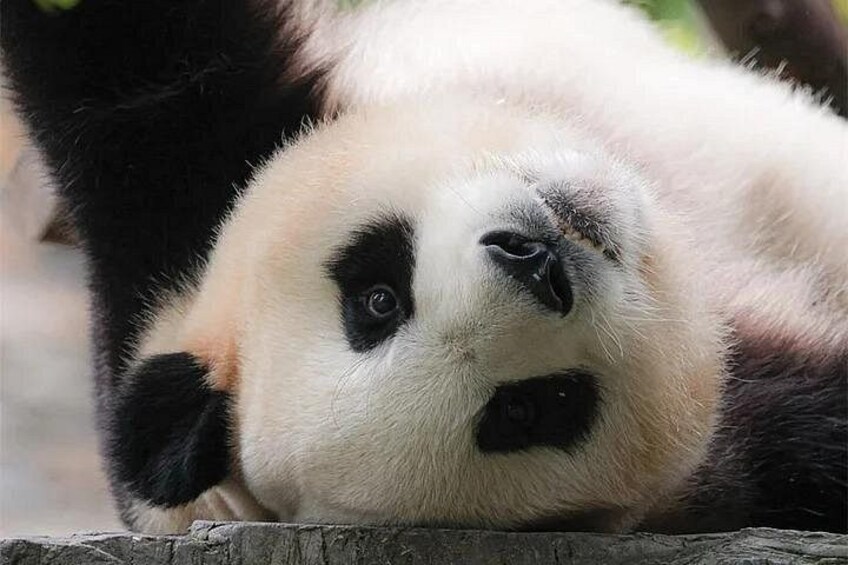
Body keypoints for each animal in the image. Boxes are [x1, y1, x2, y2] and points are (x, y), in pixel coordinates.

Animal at [2, 0, 846, 535]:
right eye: (530, 408)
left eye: (377, 297)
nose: (537, 258)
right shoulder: (749, 465)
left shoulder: (176, 189)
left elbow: (115, 49)